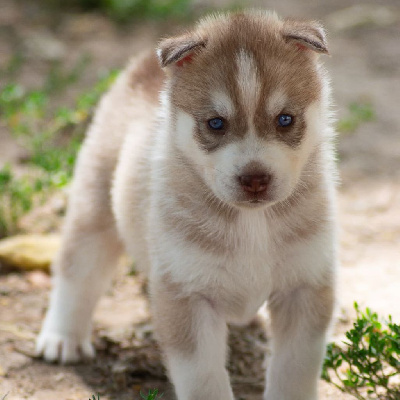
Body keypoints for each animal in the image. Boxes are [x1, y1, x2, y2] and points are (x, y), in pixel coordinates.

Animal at [36, 9, 338, 400]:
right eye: (216, 123)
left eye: (285, 119)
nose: (255, 178)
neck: (252, 222)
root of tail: (145, 67)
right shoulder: (186, 296)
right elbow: (203, 378)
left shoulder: (305, 288)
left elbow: (294, 370)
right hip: (94, 206)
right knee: (78, 271)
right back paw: (62, 338)